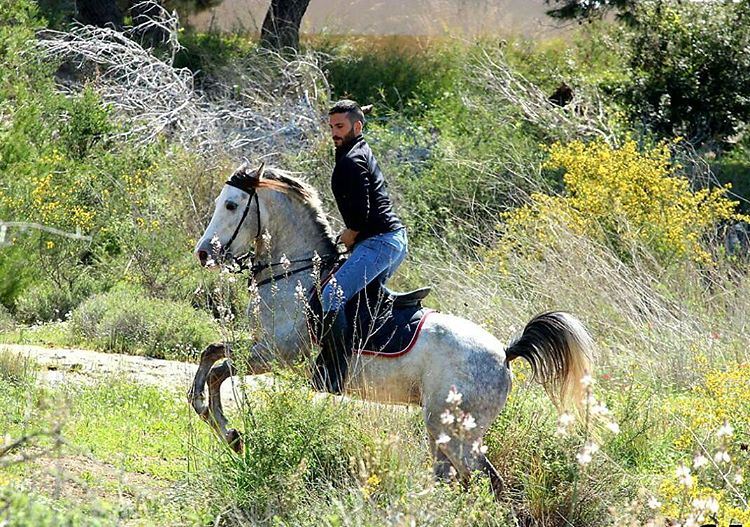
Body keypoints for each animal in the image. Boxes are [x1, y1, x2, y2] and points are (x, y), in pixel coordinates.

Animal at [188, 164, 592, 496]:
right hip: (442, 431)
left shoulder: (277, 354)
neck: (298, 274)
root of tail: (505, 355)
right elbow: (212, 352)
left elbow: (219, 370)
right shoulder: (262, 345)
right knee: (454, 478)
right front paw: (213, 417)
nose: (204, 253)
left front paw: (230, 433)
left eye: (231, 205)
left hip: (457, 434)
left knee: (486, 480)